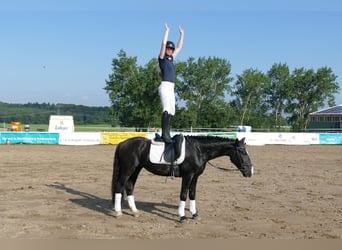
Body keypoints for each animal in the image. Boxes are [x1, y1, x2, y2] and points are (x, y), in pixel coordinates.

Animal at [111, 135, 252, 223]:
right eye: (242, 152)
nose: (250, 171)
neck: (199, 150)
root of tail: (122, 144)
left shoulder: (195, 176)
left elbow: (192, 194)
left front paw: (194, 215)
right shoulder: (188, 175)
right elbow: (183, 195)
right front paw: (182, 217)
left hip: (136, 169)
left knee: (129, 187)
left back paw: (135, 211)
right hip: (127, 170)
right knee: (119, 186)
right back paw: (118, 212)